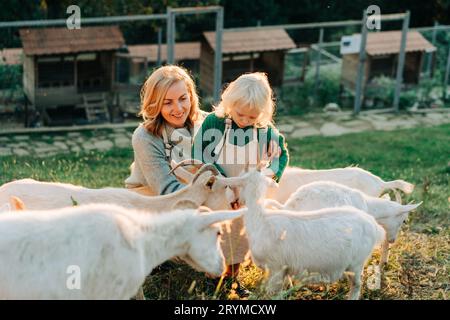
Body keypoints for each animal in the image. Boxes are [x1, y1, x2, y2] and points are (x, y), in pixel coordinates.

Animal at [221, 169, 384, 298]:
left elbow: (273, 294)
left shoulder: (276, 268)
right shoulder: (284, 269)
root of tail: (372, 224)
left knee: (356, 286)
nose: (237, 201)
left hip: (356, 263)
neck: (260, 218)